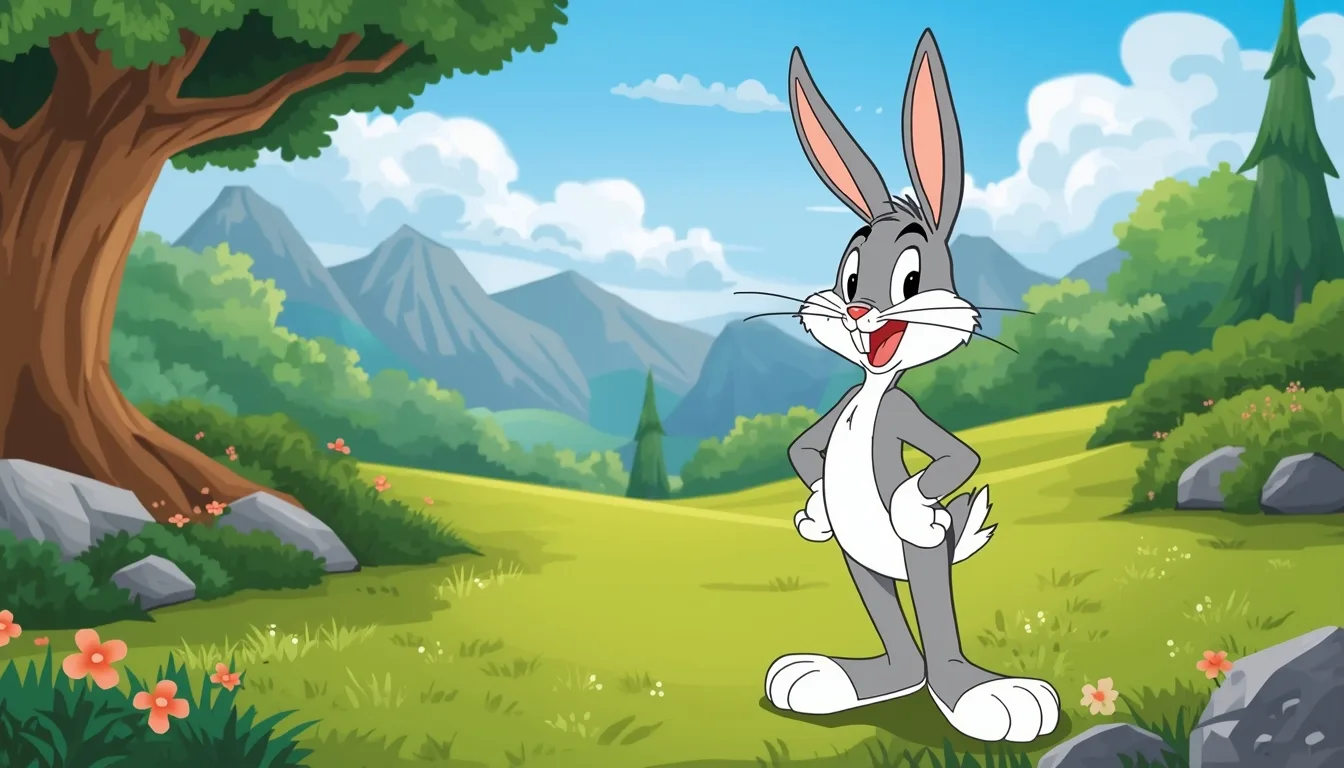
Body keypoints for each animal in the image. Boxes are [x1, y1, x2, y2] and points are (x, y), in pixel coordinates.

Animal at [762, 29, 1061, 743]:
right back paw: (843, 678)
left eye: (910, 279)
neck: (870, 394)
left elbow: (957, 456)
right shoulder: (840, 411)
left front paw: (911, 503)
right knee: (897, 640)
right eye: (848, 276)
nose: (858, 311)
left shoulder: (900, 410)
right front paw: (815, 510)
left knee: (933, 621)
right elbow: (803, 450)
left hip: (919, 558)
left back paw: (978, 694)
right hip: (860, 560)